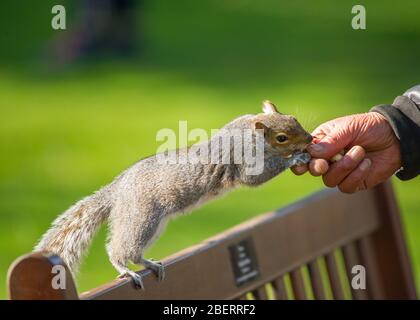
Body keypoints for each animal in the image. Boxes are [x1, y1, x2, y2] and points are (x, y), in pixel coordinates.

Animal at [35, 101, 312, 288]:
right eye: (281, 137)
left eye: (293, 117)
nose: (309, 139)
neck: (247, 132)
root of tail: (117, 190)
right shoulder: (245, 161)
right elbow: (254, 178)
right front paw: (294, 158)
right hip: (143, 217)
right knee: (121, 249)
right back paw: (125, 268)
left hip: (151, 224)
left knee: (134, 251)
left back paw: (149, 264)